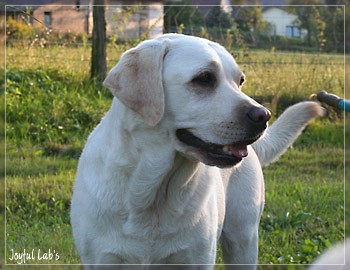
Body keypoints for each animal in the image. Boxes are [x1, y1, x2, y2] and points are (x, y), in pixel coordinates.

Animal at [69, 34, 324, 268]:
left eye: (240, 81)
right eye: (204, 78)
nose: (264, 116)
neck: (151, 193)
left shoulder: (196, 258)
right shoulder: (101, 259)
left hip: (243, 240)